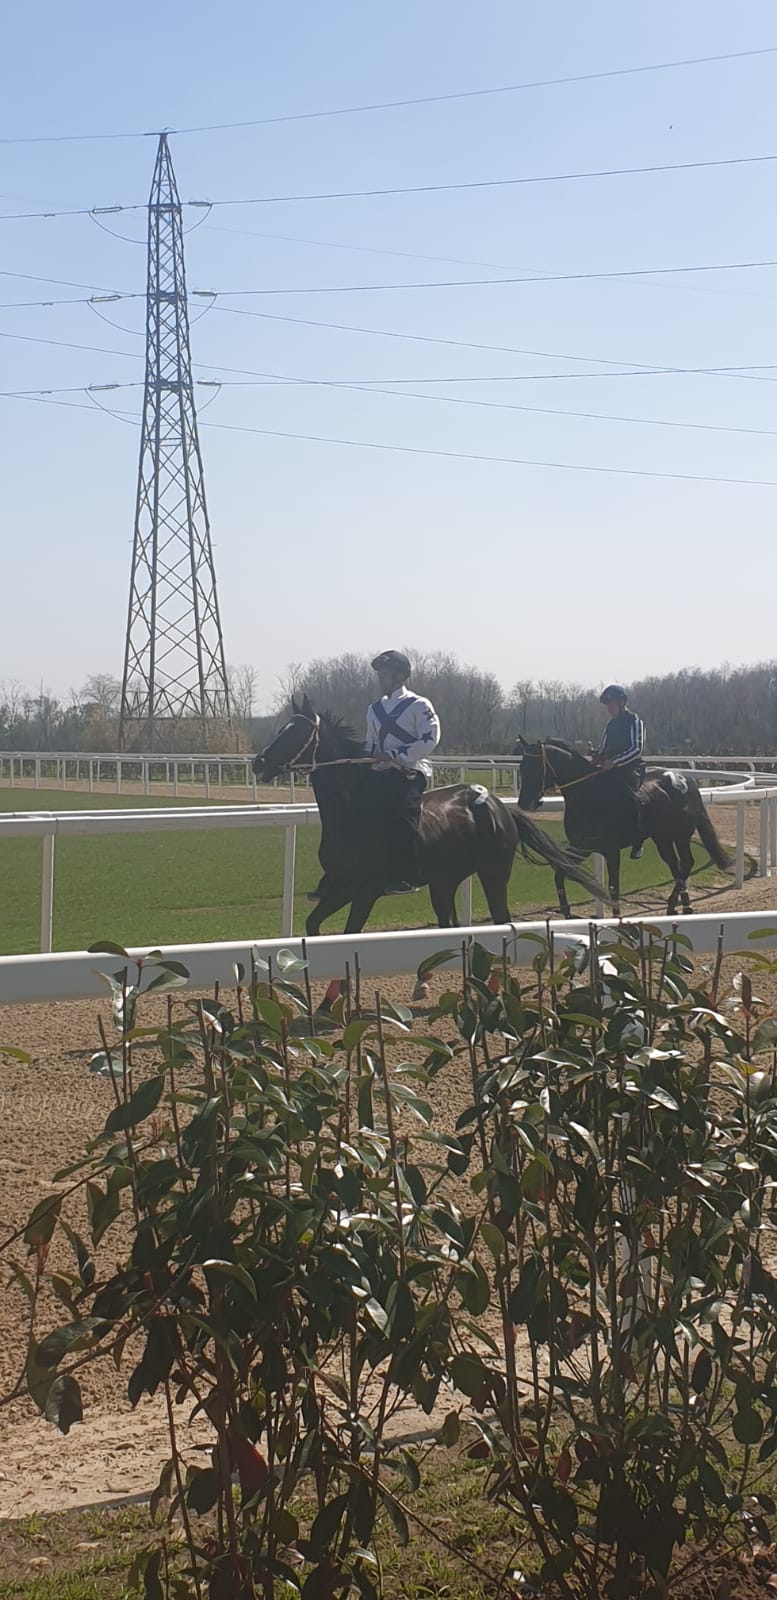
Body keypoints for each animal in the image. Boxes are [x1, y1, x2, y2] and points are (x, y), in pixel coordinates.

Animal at [254, 698, 610, 952]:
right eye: (282, 727)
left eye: (296, 732)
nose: (259, 762)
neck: (353, 812)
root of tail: (500, 808)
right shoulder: (342, 886)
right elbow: (313, 926)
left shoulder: (366, 891)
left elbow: (350, 933)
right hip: (444, 882)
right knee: (448, 926)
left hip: (493, 874)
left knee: (501, 920)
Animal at [514, 736, 730, 918]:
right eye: (522, 767)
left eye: (535, 767)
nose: (524, 802)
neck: (588, 795)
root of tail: (687, 781)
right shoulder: (581, 847)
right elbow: (560, 875)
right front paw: (566, 912)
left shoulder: (611, 851)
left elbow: (613, 888)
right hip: (663, 838)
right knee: (675, 865)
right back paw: (680, 906)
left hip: (681, 835)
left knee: (686, 863)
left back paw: (677, 905)